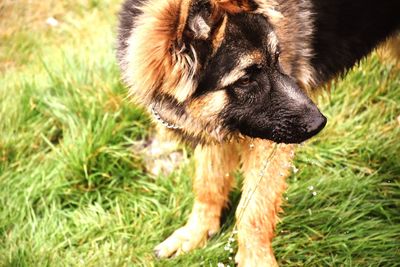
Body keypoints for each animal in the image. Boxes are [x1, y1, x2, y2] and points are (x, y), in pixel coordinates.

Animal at [116, 1, 400, 266]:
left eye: (277, 58)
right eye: (245, 79)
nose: (319, 123)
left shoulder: (270, 144)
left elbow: (254, 208)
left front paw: (256, 258)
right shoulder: (216, 129)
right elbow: (208, 183)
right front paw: (196, 233)